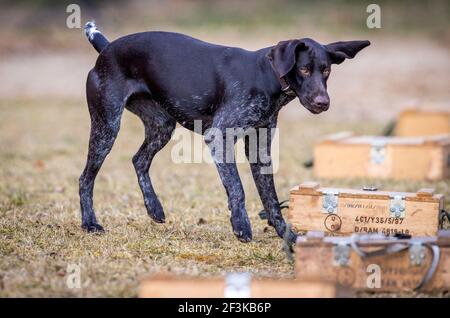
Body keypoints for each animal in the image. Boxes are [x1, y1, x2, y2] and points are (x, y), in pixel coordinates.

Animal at [81, 21, 370, 242]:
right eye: (304, 69)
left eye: (326, 70)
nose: (323, 103)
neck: (267, 77)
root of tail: (106, 48)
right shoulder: (219, 137)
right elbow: (237, 187)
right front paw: (241, 226)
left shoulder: (260, 150)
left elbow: (271, 199)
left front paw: (286, 236)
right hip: (107, 126)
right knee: (86, 179)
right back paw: (90, 223)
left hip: (161, 126)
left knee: (139, 160)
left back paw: (154, 207)